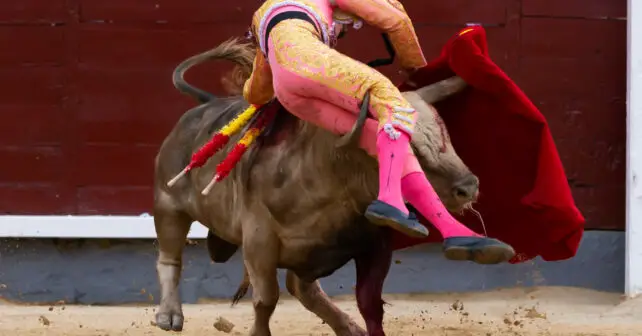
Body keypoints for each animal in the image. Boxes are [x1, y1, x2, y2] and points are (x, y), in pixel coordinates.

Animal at [154, 38, 476, 334]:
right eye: (411, 150)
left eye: (446, 135)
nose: (469, 187)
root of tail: (204, 104)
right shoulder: (259, 242)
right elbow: (266, 300)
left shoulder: (375, 244)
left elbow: (370, 302)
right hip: (168, 204)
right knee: (170, 258)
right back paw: (169, 316)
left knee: (304, 289)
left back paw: (348, 327)